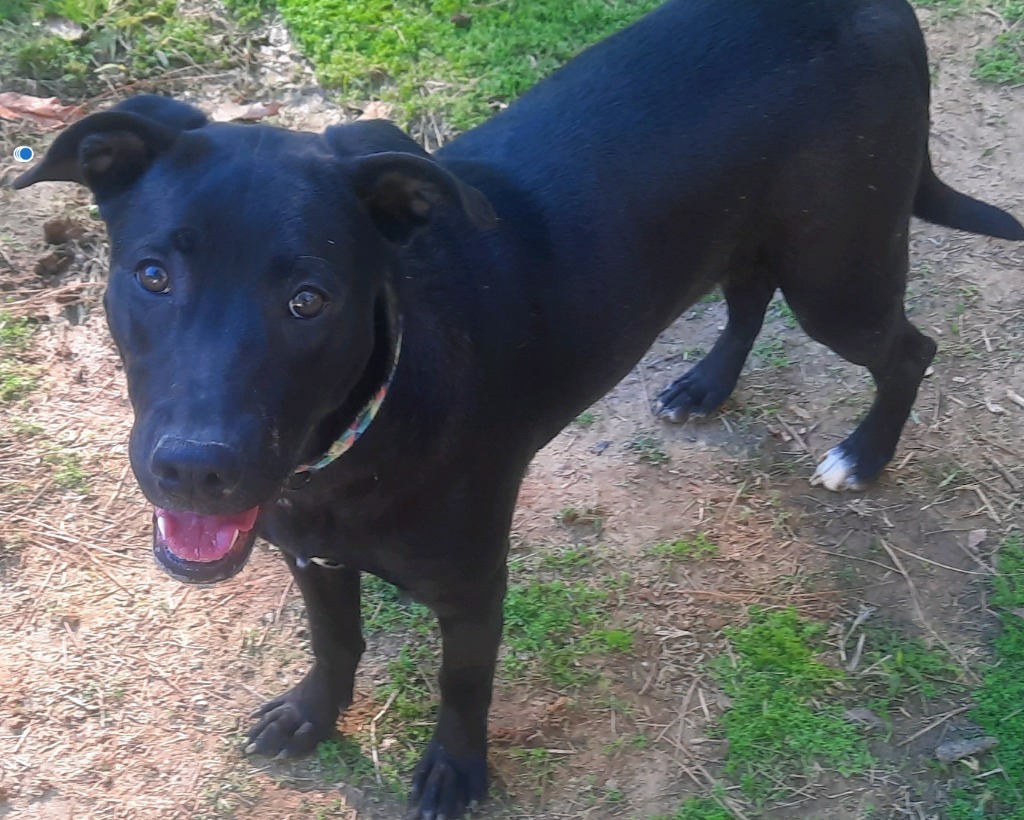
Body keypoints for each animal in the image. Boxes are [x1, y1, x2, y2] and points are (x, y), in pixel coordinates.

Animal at [16, 0, 1024, 814]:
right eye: (153, 275)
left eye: (309, 300)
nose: (195, 469)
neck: (356, 436)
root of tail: (880, 7)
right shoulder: (310, 554)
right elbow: (336, 642)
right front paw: (312, 714)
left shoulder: (472, 588)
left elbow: (464, 685)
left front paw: (456, 774)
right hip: (753, 236)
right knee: (745, 297)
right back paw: (705, 386)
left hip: (838, 272)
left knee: (907, 351)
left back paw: (866, 453)